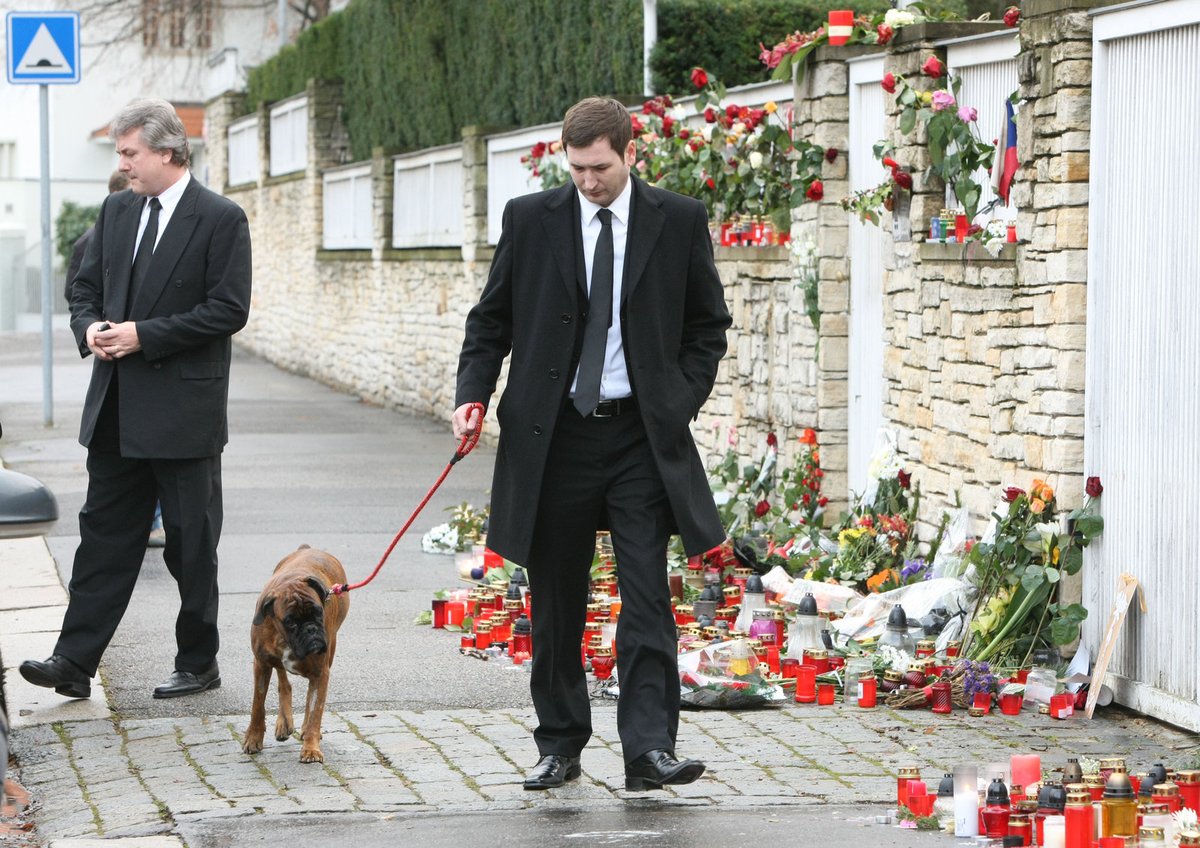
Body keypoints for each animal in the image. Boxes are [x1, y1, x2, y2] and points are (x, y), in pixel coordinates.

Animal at [240, 546, 350, 767]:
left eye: (318, 612)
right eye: (290, 621)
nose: (311, 629)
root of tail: (307, 548)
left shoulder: (320, 673)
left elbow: (315, 709)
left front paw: (311, 748)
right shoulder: (261, 665)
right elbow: (258, 705)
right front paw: (253, 738)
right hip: (273, 663)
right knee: (284, 682)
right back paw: (284, 723)